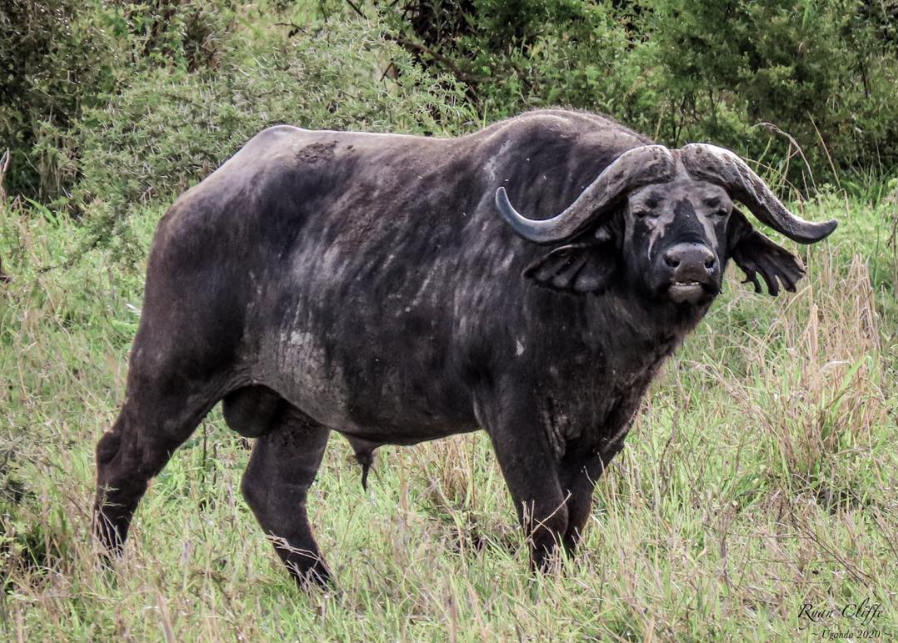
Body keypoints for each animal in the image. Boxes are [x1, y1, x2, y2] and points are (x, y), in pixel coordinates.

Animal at [91, 109, 832, 584]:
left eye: (719, 209)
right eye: (642, 210)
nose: (691, 263)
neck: (597, 328)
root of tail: (186, 208)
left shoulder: (610, 426)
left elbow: (576, 515)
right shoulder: (512, 412)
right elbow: (544, 512)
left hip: (300, 407)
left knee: (273, 492)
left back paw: (328, 592)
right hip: (171, 372)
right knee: (121, 460)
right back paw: (106, 573)